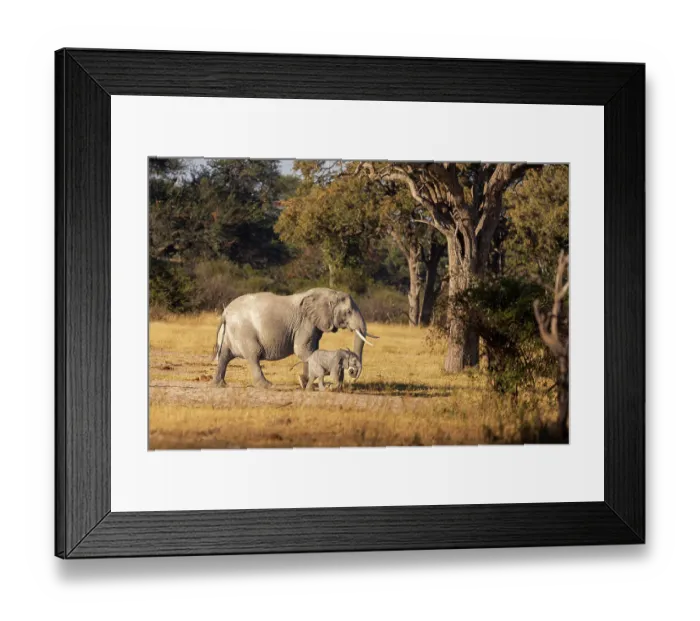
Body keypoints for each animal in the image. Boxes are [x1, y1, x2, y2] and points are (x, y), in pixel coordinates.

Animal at [212, 288, 378, 388]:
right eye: (348, 312)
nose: (352, 372)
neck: (328, 293)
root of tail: (225, 312)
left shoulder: (314, 325)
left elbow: (312, 350)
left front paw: (305, 383)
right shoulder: (305, 323)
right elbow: (303, 350)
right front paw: (309, 382)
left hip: (229, 333)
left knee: (224, 356)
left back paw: (220, 384)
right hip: (244, 331)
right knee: (253, 355)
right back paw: (267, 385)